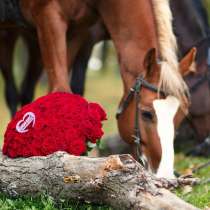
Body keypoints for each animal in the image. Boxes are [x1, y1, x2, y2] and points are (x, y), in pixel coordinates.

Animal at [0, 0, 194, 177]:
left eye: (180, 117)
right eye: (147, 114)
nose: (166, 175)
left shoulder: (78, 31)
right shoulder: (48, 15)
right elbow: (61, 90)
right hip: (9, 34)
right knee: (11, 93)